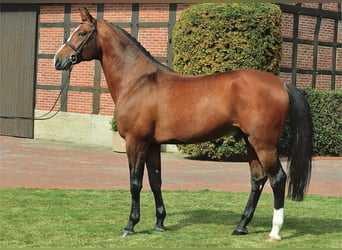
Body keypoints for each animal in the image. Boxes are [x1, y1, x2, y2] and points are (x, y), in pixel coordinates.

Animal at [54, 8, 312, 241]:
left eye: (81, 32)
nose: (58, 59)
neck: (138, 81)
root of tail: (281, 84)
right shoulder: (152, 144)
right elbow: (156, 181)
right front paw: (159, 223)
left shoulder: (136, 143)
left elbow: (135, 183)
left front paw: (130, 226)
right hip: (250, 142)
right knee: (257, 179)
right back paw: (241, 227)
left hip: (264, 144)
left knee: (278, 179)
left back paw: (274, 232)